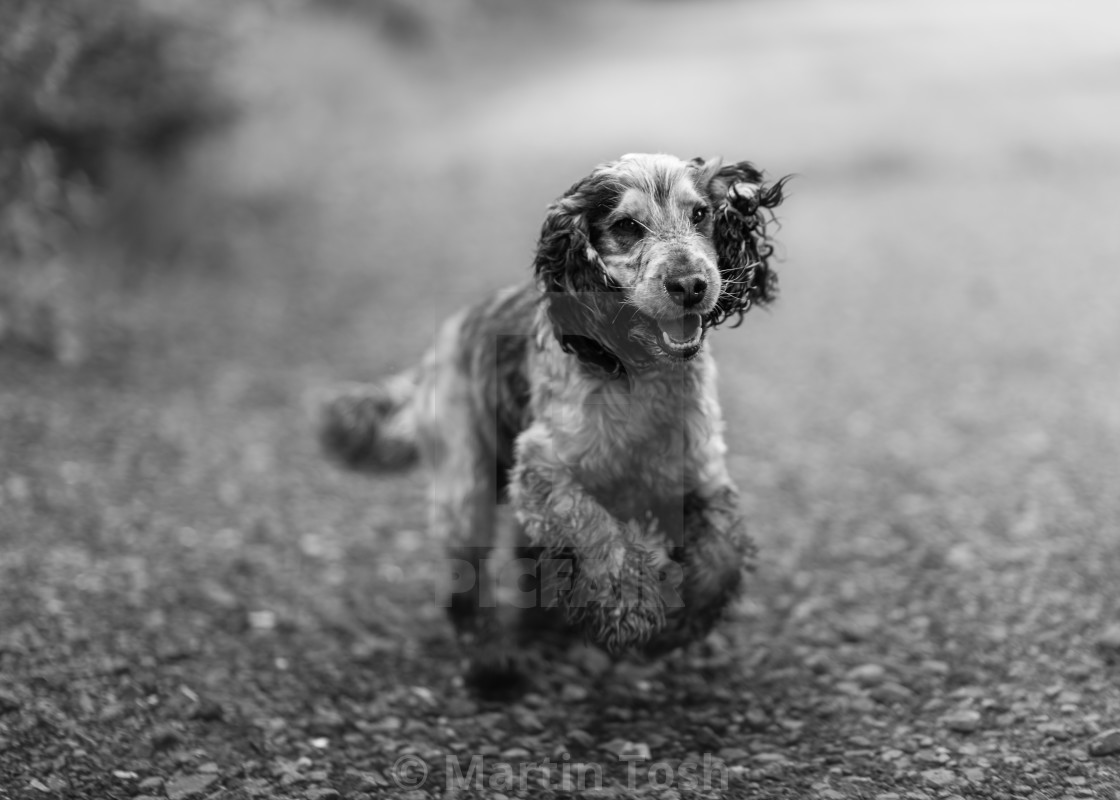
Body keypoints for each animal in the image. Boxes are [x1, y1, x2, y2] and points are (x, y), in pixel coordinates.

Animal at [315, 152, 788, 690]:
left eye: (702, 214)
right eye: (626, 227)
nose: (691, 285)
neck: (638, 375)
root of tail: (440, 345)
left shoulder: (698, 474)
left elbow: (724, 555)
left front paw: (679, 627)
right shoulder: (540, 468)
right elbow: (595, 528)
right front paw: (631, 608)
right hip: (465, 483)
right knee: (463, 578)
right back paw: (491, 662)